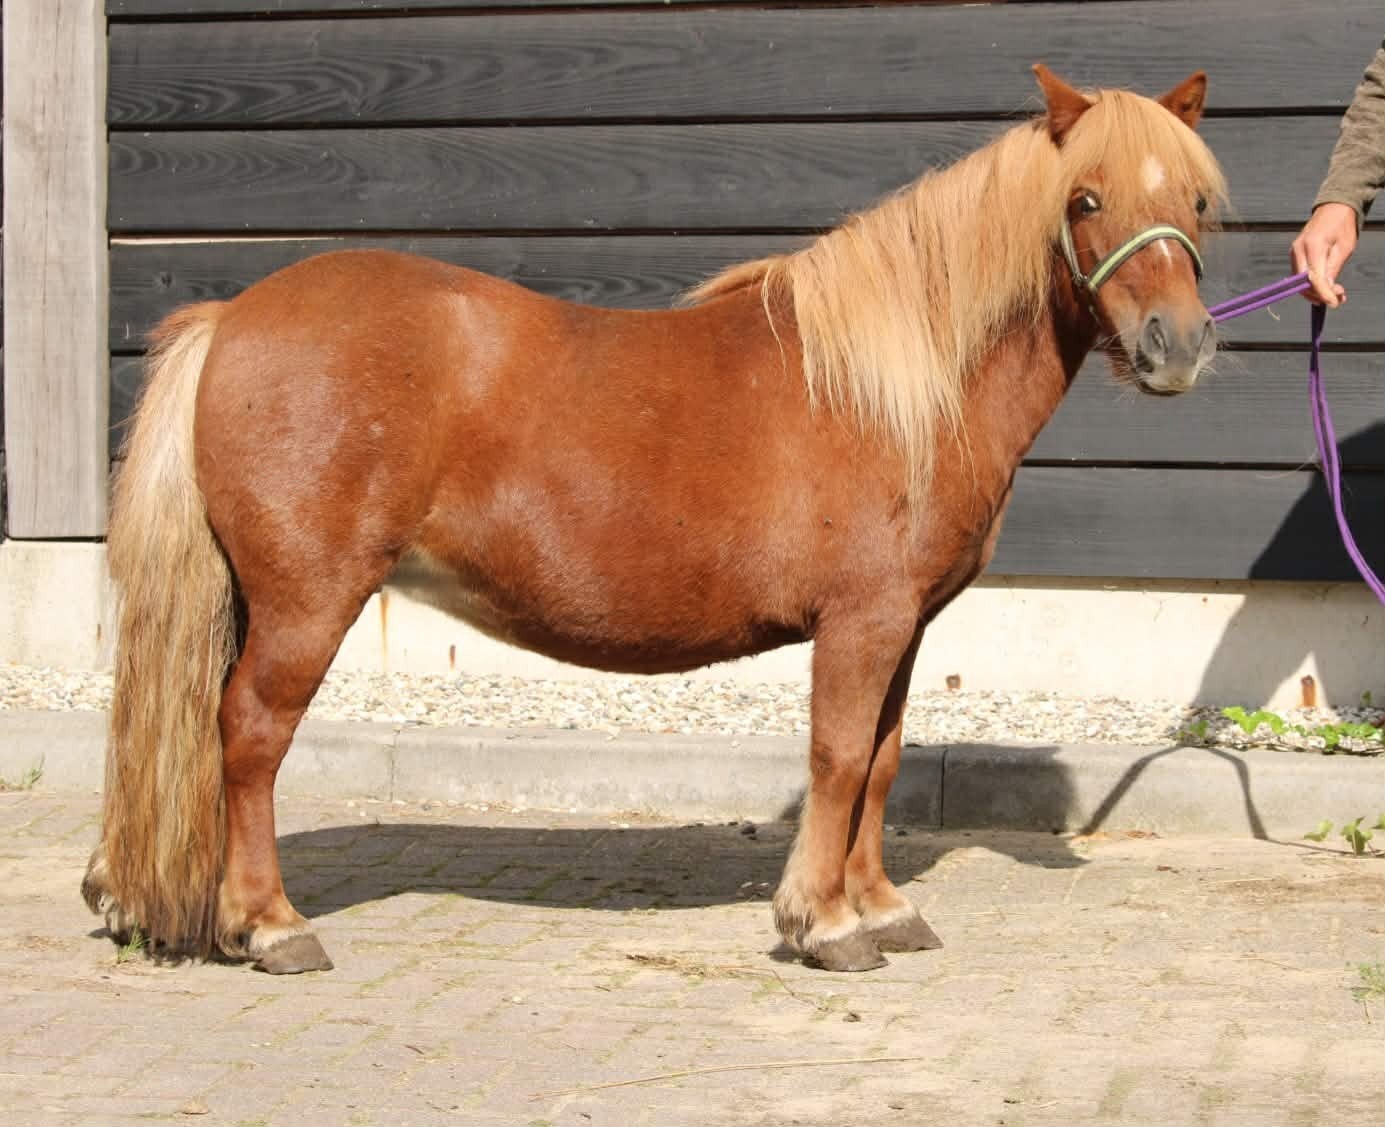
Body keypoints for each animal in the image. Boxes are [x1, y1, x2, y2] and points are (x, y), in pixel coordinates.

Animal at [82, 65, 1226, 975]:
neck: (899, 384)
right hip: (307, 601)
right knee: (248, 733)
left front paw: (878, 907)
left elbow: (883, 759)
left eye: (1197, 203)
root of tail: (233, 317)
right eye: (1084, 197)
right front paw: (822, 923)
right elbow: (837, 757)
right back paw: (270, 925)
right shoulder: (860, 621)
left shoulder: (903, 625)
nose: (1175, 346)